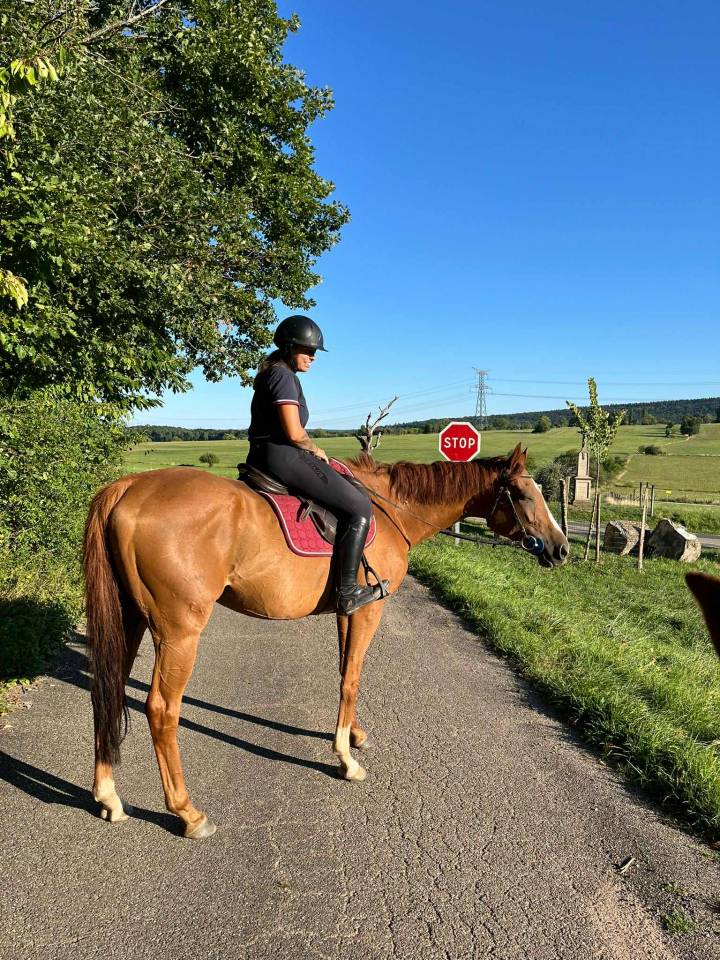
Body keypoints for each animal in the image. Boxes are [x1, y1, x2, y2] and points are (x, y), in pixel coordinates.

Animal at [83, 443, 569, 839]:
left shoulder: (346, 610)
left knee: (108, 689)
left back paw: (108, 796)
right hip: (179, 633)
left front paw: (353, 734)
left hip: (131, 620)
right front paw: (345, 759)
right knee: (161, 709)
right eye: (525, 495)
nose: (562, 550)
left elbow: (344, 669)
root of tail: (128, 488)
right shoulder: (368, 608)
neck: (392, 512)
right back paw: (188, 812)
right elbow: (352, 676)